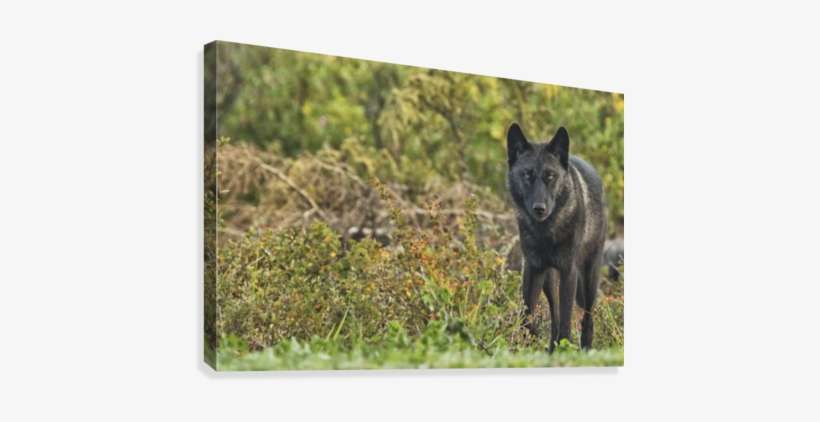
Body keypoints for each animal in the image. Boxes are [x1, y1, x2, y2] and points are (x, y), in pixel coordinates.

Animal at [506, 123, 607, 350]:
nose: (539, 209)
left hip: (589, 276)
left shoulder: (569, 271)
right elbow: (527, 314)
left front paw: (564, 347)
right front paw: (528, 342)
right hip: (549, 281)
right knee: (555, 314)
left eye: (550, 176)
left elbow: (567, 318)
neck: (546, 232)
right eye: (527, 175)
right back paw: (551, 348)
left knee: (587, 318)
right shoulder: (533, 269)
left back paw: (584, 348)